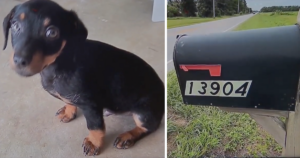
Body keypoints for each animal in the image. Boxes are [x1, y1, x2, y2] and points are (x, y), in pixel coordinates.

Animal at [1, 0, 164, 156]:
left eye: (52, 32)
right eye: (15, 25)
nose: (20, 61)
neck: (59, 65)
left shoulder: (90, 104)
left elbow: (95, 126)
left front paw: (93, 143)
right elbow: (69, 102)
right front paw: (68, 112)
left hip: (143, 111)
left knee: (149, 127)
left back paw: (127, 136)